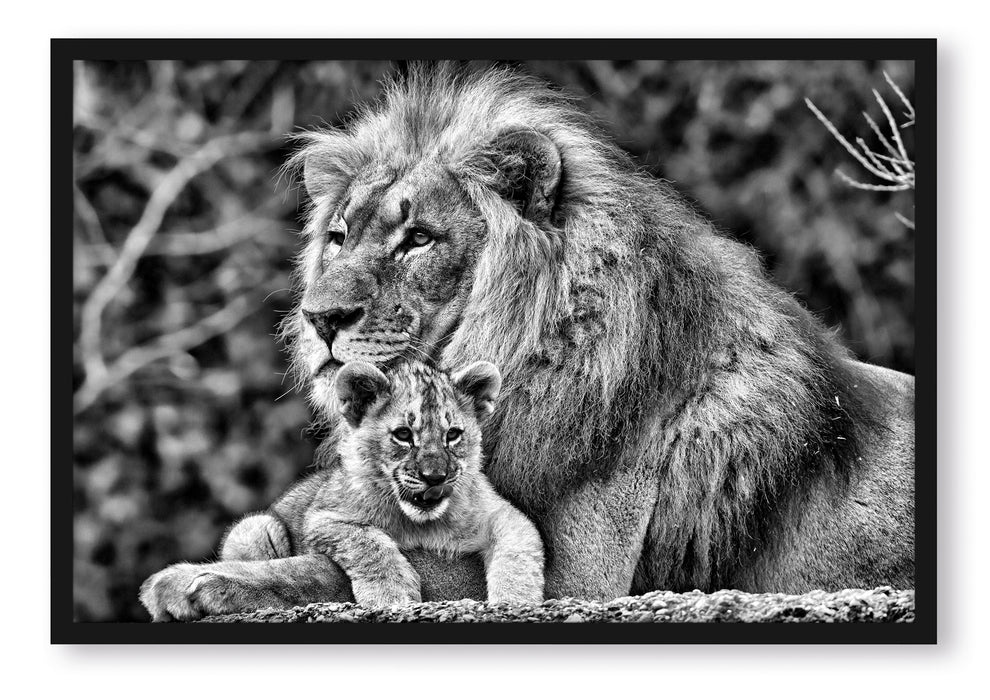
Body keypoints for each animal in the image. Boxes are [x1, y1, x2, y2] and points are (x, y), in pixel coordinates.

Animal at [140, 359, 543, 620]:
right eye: (403, 434)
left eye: (453, 435)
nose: (435, 476)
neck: (424, 523)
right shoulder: (325, 518)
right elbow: (369, 544)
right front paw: (391, 595)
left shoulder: (503, 515)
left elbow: (520, 552)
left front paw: (515, 602)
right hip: (255, 528)